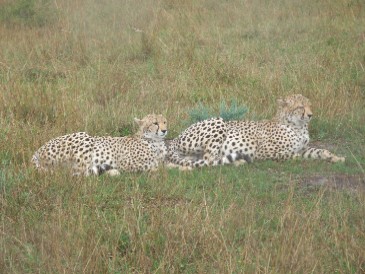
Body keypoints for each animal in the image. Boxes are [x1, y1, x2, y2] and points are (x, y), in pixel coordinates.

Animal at [31, 113, 168, 176]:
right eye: (155, 123)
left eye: (165, 122)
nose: (164, 130)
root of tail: (37, 151)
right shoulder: (127, 164)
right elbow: (154, 167)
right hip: (85, 139)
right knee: (76, 172)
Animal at [168, 93, 344, 169]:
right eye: (300, 107)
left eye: (309, 105)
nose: (310, 115)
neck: (298, 126)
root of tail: (175, 139)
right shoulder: (263, 152)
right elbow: (290, 155)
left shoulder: (304, 148)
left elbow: (320, 151)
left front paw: (335, 157)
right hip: (218, 120)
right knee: (209, 159)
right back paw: (237, 161)